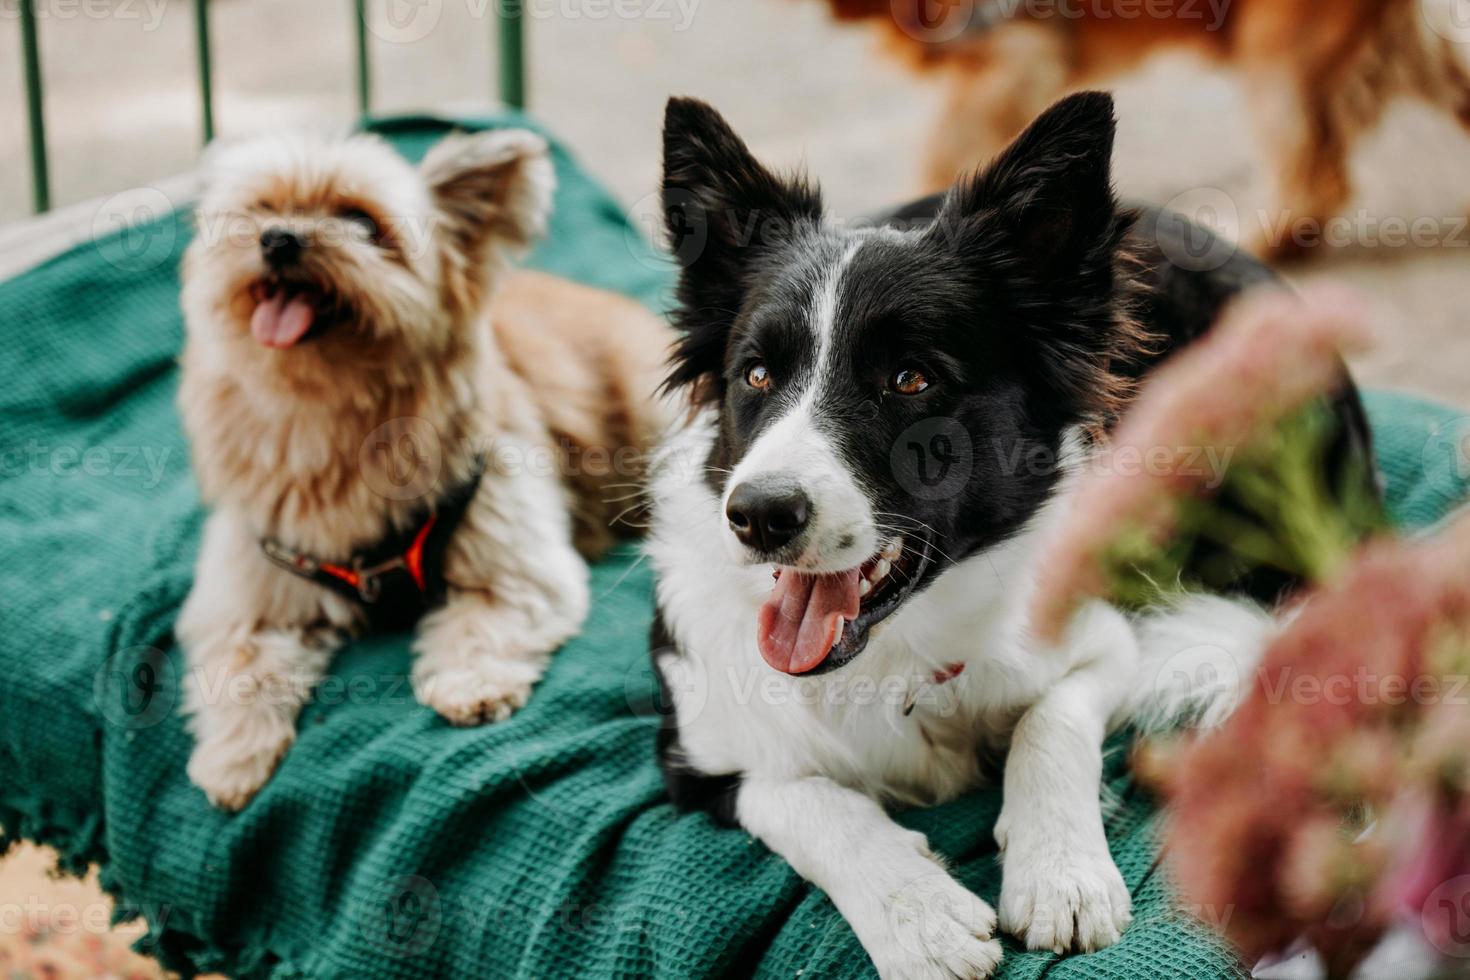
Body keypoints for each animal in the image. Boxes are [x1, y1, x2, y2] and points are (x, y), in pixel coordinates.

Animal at [173, 126, 673, 811]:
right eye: (262, 209)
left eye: (361, 221)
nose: (278, 238)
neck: (329, 419)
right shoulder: (249, 590)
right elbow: (239, 668)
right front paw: (232, 757)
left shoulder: (514, 559)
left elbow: (483, 626)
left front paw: (470, 686)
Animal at [649, 94, 1370, 980]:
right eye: (755, 374)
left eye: (911, 379)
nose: (758, 515)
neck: (896, 655)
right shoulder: (699, 747)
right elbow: (805, 797)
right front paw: (919, 918)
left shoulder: (1108, 640)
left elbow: (1048, 722)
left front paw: (1061, 875)